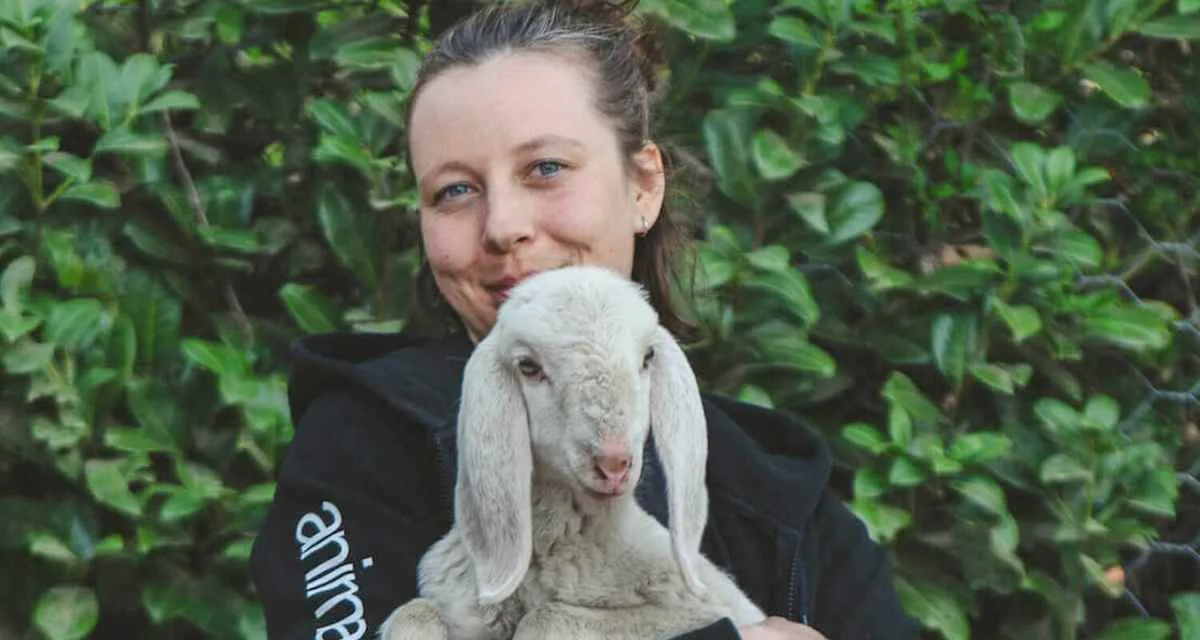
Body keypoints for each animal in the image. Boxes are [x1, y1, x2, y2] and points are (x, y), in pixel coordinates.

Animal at [379, 264, 763, 638]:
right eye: (528, 366)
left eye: (648, 357)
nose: (614, 464)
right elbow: (415, 612)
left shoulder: (699, 610)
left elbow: (546, 618)